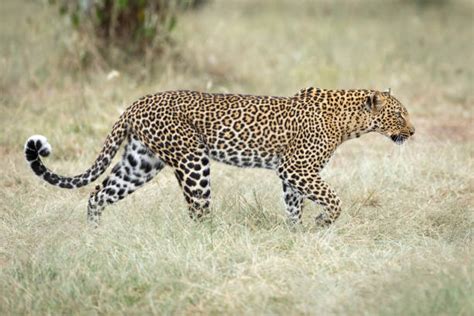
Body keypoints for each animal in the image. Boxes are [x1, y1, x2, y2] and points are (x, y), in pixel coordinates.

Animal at [24, 87, 414, 227]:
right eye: (400, 114)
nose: (412, 132)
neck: (349, 121)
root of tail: (136, 103)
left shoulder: (291, 174)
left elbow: (294, 205)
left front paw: (296, 234)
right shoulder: (296, 168)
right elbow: (334, 200)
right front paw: (322, 222)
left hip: (141, 163)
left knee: (98, 193)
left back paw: (95, 234)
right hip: (193, 160)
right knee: (197, 210)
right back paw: (211, 238)